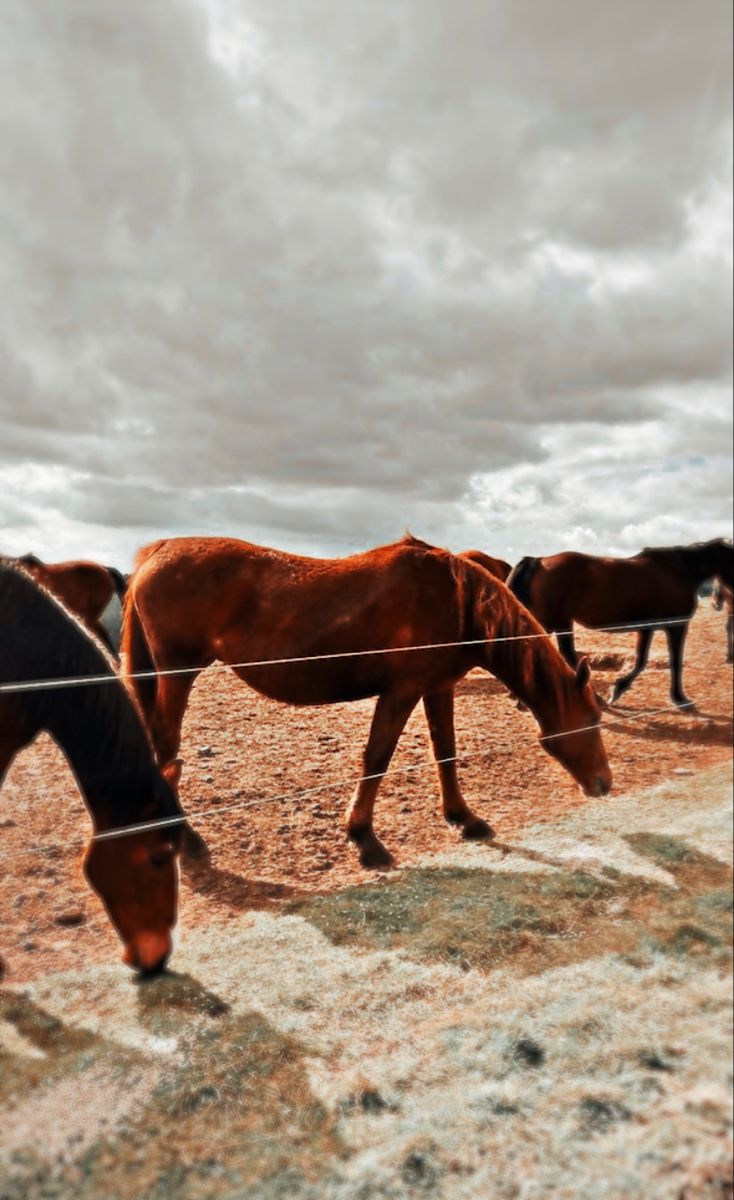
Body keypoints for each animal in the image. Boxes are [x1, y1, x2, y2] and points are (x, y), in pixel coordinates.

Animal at [122, 534, 611, 869]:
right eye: (590, 719)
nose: (604, 784)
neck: (458, 603)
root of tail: (158, 551)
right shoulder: (401, 691)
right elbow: (377, 758)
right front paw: (364, 838)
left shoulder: (438, 688)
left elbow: (445, 753)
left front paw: (463, 818)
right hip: (177, 674)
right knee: (168, 751)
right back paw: (186, 841)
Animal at [508, 539, 734, 709]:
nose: (717, 602)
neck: (679, 571)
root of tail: (539, 561)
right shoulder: (676, 626)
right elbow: (675, 662)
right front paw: (680, 698)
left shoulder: (647, 627)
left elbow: (641, 660)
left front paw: (617, 689)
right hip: (558, 621)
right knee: (560, 653)